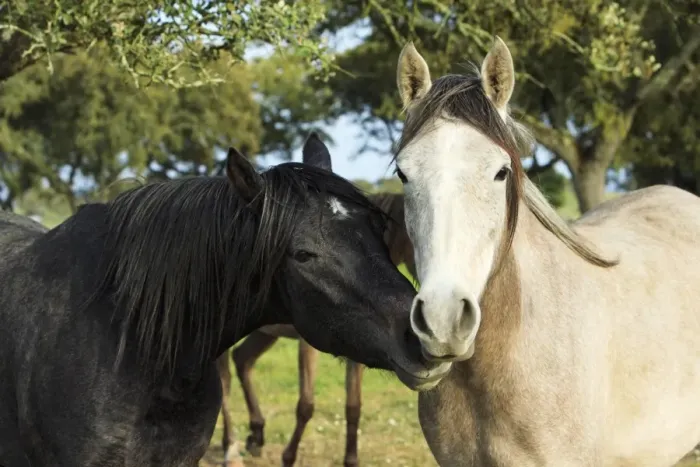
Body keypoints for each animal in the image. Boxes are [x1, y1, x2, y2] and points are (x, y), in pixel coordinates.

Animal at [217, 188, 416, 467]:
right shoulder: (307, 344)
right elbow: (306, 404)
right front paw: (288, 456)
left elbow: (353, 407)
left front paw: (351, 460)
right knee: (223, 380)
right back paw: (230, 447)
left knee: (243, 359)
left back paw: (256, 436)